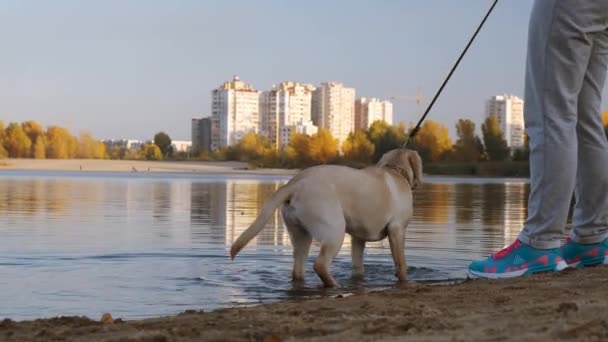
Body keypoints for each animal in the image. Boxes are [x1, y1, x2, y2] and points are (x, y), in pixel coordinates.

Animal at [229, 148, 422, 288]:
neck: (395, 170)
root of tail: (296, 183)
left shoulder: (358, 238)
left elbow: (358, 265)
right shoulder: (397, 230)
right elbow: (401, 263)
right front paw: (405, 281)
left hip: (300, 235)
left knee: (298, 269)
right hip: (335, 230)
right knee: (320, 264)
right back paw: (335, 286)